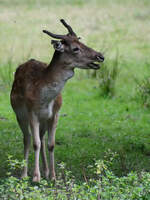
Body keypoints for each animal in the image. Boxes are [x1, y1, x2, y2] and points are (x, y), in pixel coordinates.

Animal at [10, 19, 104, 182]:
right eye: (75, 48)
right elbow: (35, 143)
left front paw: (53, 176)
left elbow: (51, 144)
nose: (100, 56)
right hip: (20, 115)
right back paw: (24, 174)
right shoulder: (32, 113)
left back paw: (46, 171)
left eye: (81, 42)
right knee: (27, 139)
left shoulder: (55, 114)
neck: (45, 98)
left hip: (43, 120)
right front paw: (36, 177)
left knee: (41, 138)